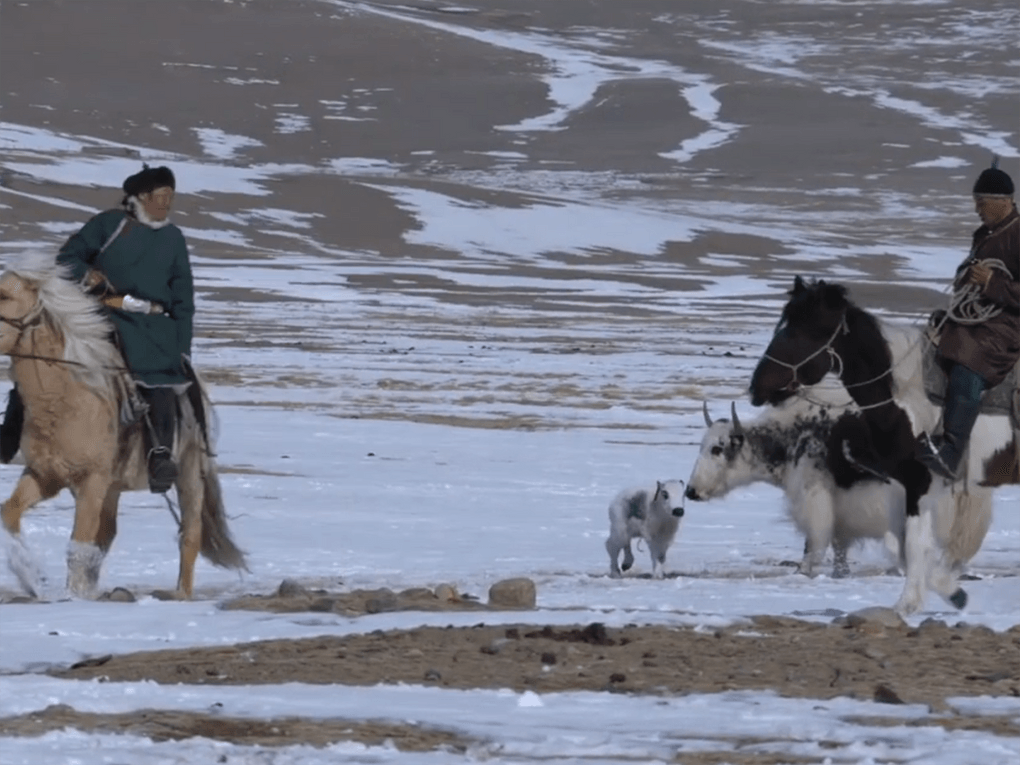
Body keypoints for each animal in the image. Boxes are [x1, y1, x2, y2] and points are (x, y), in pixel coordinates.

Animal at [0, 255, 246, 603]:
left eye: (5, 296)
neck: (66, 399)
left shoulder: (91, 481)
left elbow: (78, 544)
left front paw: (72, 596)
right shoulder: (45, 475)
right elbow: (9, 513)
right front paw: (31, 577)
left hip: (188, 476)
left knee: (190, 535)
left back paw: (180, 594)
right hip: (113, 488)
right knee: (107, 535)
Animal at [746, 279, 1007, 616]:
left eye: (797, 331)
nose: (756, 387)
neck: (907, 396)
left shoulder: (920, 480)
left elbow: (914, 546)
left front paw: (907, 604)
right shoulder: (909, 486)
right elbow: (906, 548)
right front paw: (951, 592)